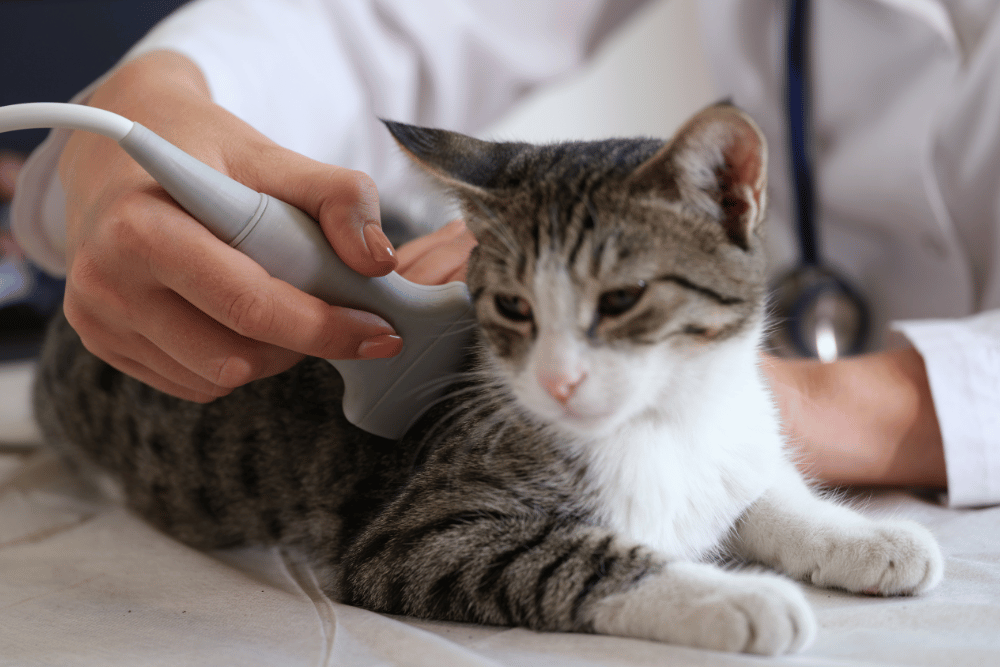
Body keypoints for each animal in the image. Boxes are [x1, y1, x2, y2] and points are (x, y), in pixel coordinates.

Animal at [29, 105, 936, 656]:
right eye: (512, 305)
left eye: (622, 299)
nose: (561, 382)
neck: (660, 419)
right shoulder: (418, 534)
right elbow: (573, 556)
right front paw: (734, 598)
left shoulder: (727, 438)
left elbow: (764, 491)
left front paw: (869, 538)